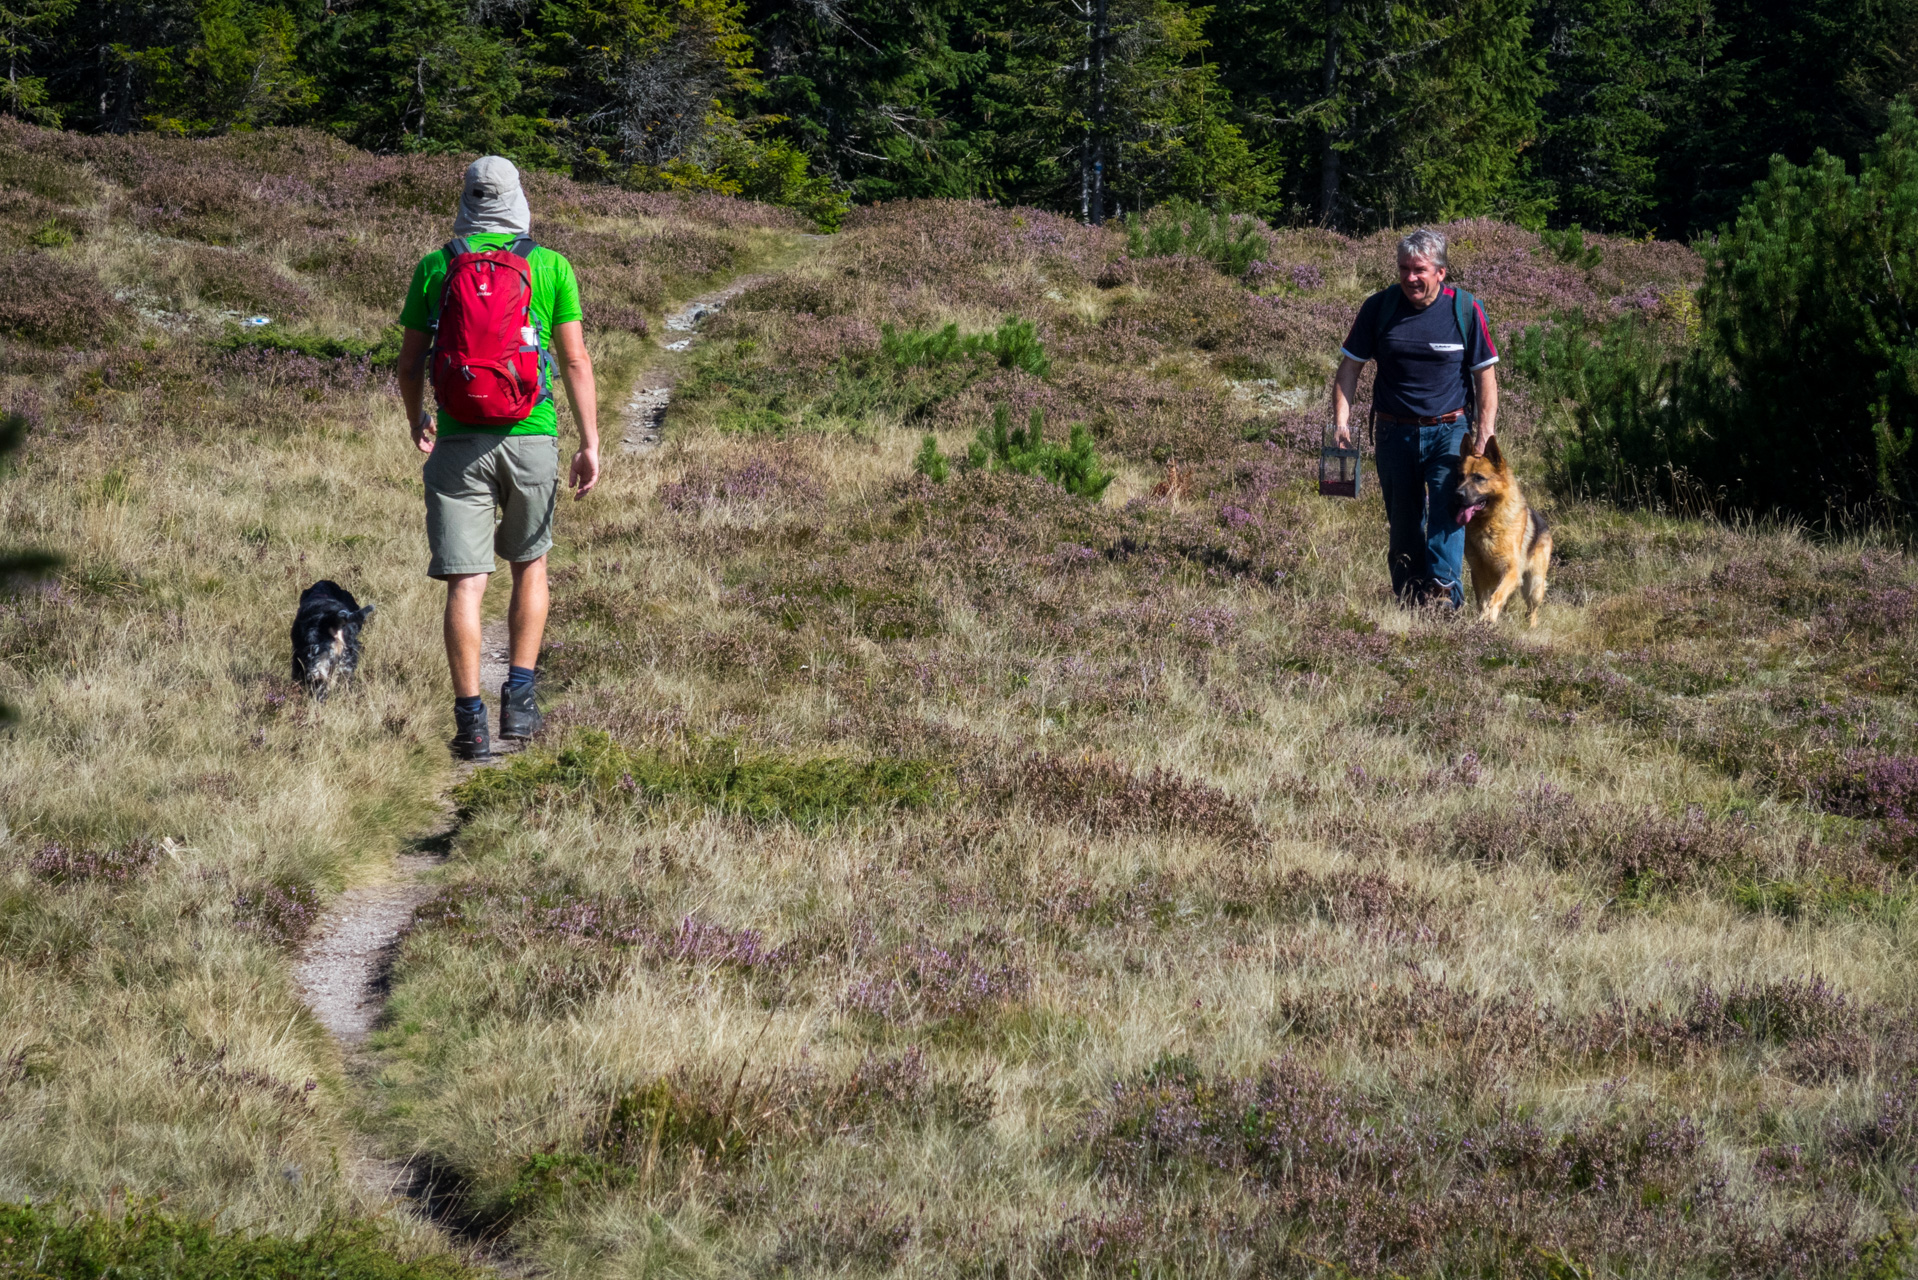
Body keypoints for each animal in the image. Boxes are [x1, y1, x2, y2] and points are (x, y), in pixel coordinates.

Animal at [1457, 437, 1549, 629]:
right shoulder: (1478, 574)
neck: (1488, 522)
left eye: (1479, 478)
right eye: (1460, 476)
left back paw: (1531, 627)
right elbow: (1483, 602)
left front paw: (1488, 619)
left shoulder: (1511, 572)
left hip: (1534, 586)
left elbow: (1496, 597)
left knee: (1532, 610)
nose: (1457, 494)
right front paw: (1483, 620)